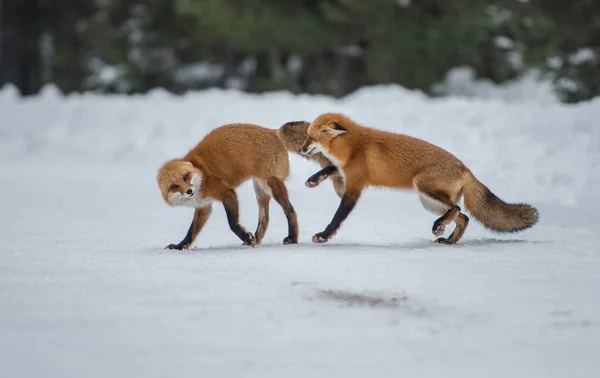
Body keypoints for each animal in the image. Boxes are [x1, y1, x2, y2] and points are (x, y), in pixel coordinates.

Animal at [158, 122, 298, 250]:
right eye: (174, 186)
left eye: (185, 177)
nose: (189, 191)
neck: (202, 175)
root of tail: (273, 131)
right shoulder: (204, 207)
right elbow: (191, 232)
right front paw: (179, 246)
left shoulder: (227, 193)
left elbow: (232, 223)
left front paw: (247, 238)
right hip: (260, 191)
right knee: (265, 219)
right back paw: (257, 239)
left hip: (271, 186)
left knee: (291, 211)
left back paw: (293, 238)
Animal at [300, 112, 540, 245]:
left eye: (311, 137)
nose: (301, 149)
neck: (353, 146)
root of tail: (465, 168)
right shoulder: (347, 170)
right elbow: (330, 167)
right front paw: (314, 179)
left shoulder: (355, 186)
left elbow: (337, 216)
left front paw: (323, 235)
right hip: (429, 203)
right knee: (463, 217)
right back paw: (449, 239)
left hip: (424, 187)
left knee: (457, 209)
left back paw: (440, 227)